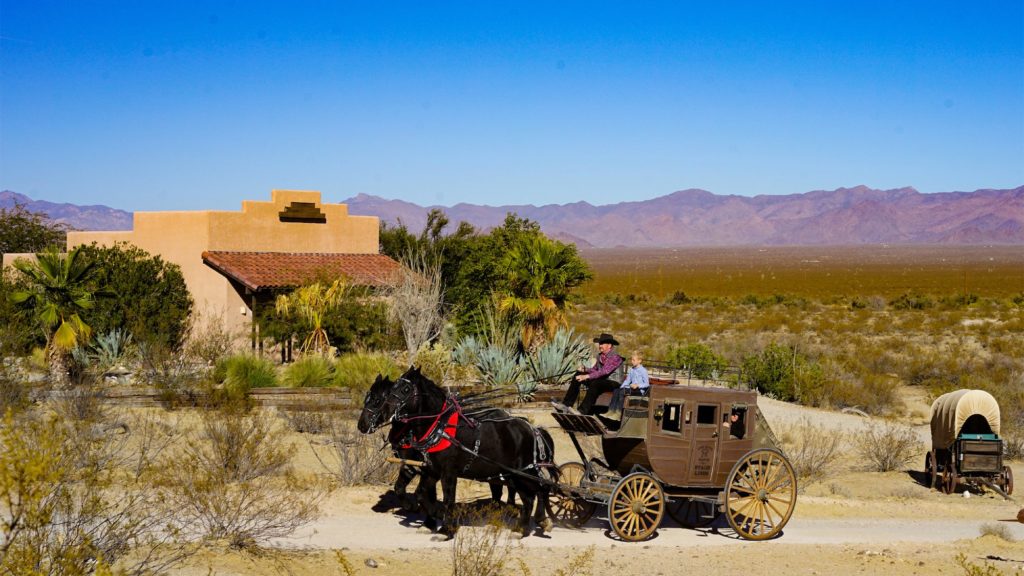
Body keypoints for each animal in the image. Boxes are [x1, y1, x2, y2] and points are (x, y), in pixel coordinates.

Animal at [358, 364, 557, 537]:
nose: (362, 425)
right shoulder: (427, 469)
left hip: (524, 472)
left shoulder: (447, 472)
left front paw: (445, 529)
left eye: (405, 390)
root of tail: (533, 429)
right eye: (370, 397)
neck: (439, 428)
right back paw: (523, 525)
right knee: (527, 495)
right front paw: (429, 519)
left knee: (539, 490)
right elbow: (418, 493)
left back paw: (532, 523)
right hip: (511, 474)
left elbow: (446, 499)